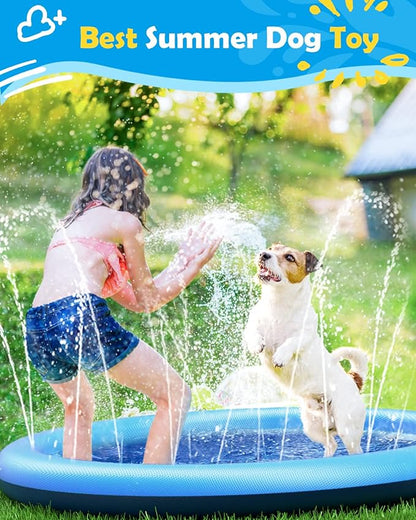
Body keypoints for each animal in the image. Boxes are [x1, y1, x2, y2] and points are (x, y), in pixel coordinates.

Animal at [244, 243, 368, 456]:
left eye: (289, 257)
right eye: (271, 248)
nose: (263, 254)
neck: (277, 306)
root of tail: (353, 380)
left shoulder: (305, 335)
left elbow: (292, 341)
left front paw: (281, 355)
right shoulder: (253, 323)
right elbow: (252, 331)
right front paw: (256, 343)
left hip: (348, 427)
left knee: (354, 449)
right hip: (312, 425)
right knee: (331, 444)